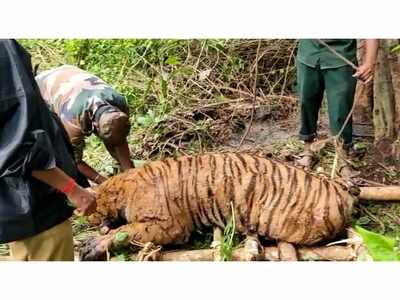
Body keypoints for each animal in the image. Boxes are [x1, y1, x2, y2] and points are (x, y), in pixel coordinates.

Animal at [79, 152, 354, 260]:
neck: (123, 186)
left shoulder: (169, 226)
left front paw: (93, 245)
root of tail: (343, 193)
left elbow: (126, 230)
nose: (84, 218)